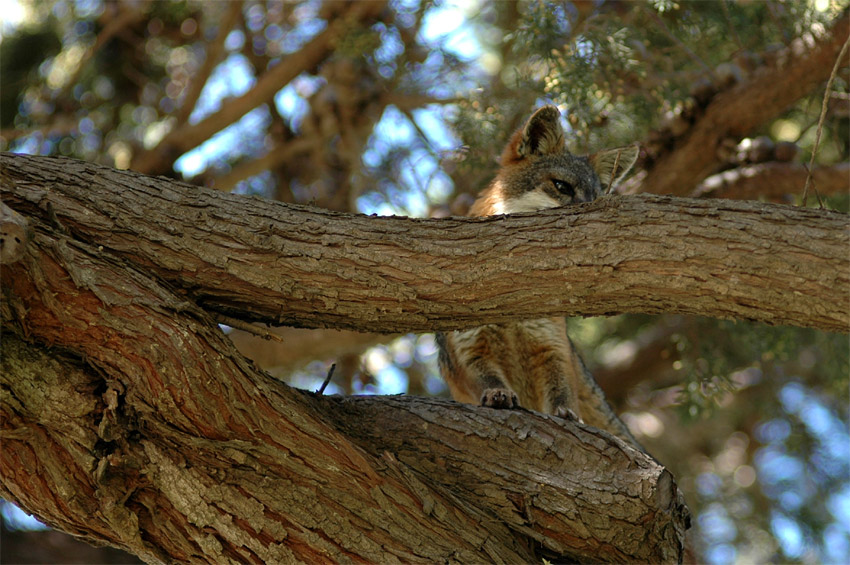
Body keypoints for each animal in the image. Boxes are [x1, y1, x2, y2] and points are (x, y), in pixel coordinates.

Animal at [434, 106, 640, 450]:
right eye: (562, 187)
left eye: (595, 199)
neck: (512, 317)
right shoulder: (468, 348)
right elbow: (486, 378)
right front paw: (497, 394)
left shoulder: (551, 347)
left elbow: (561, 395)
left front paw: (568, 416)